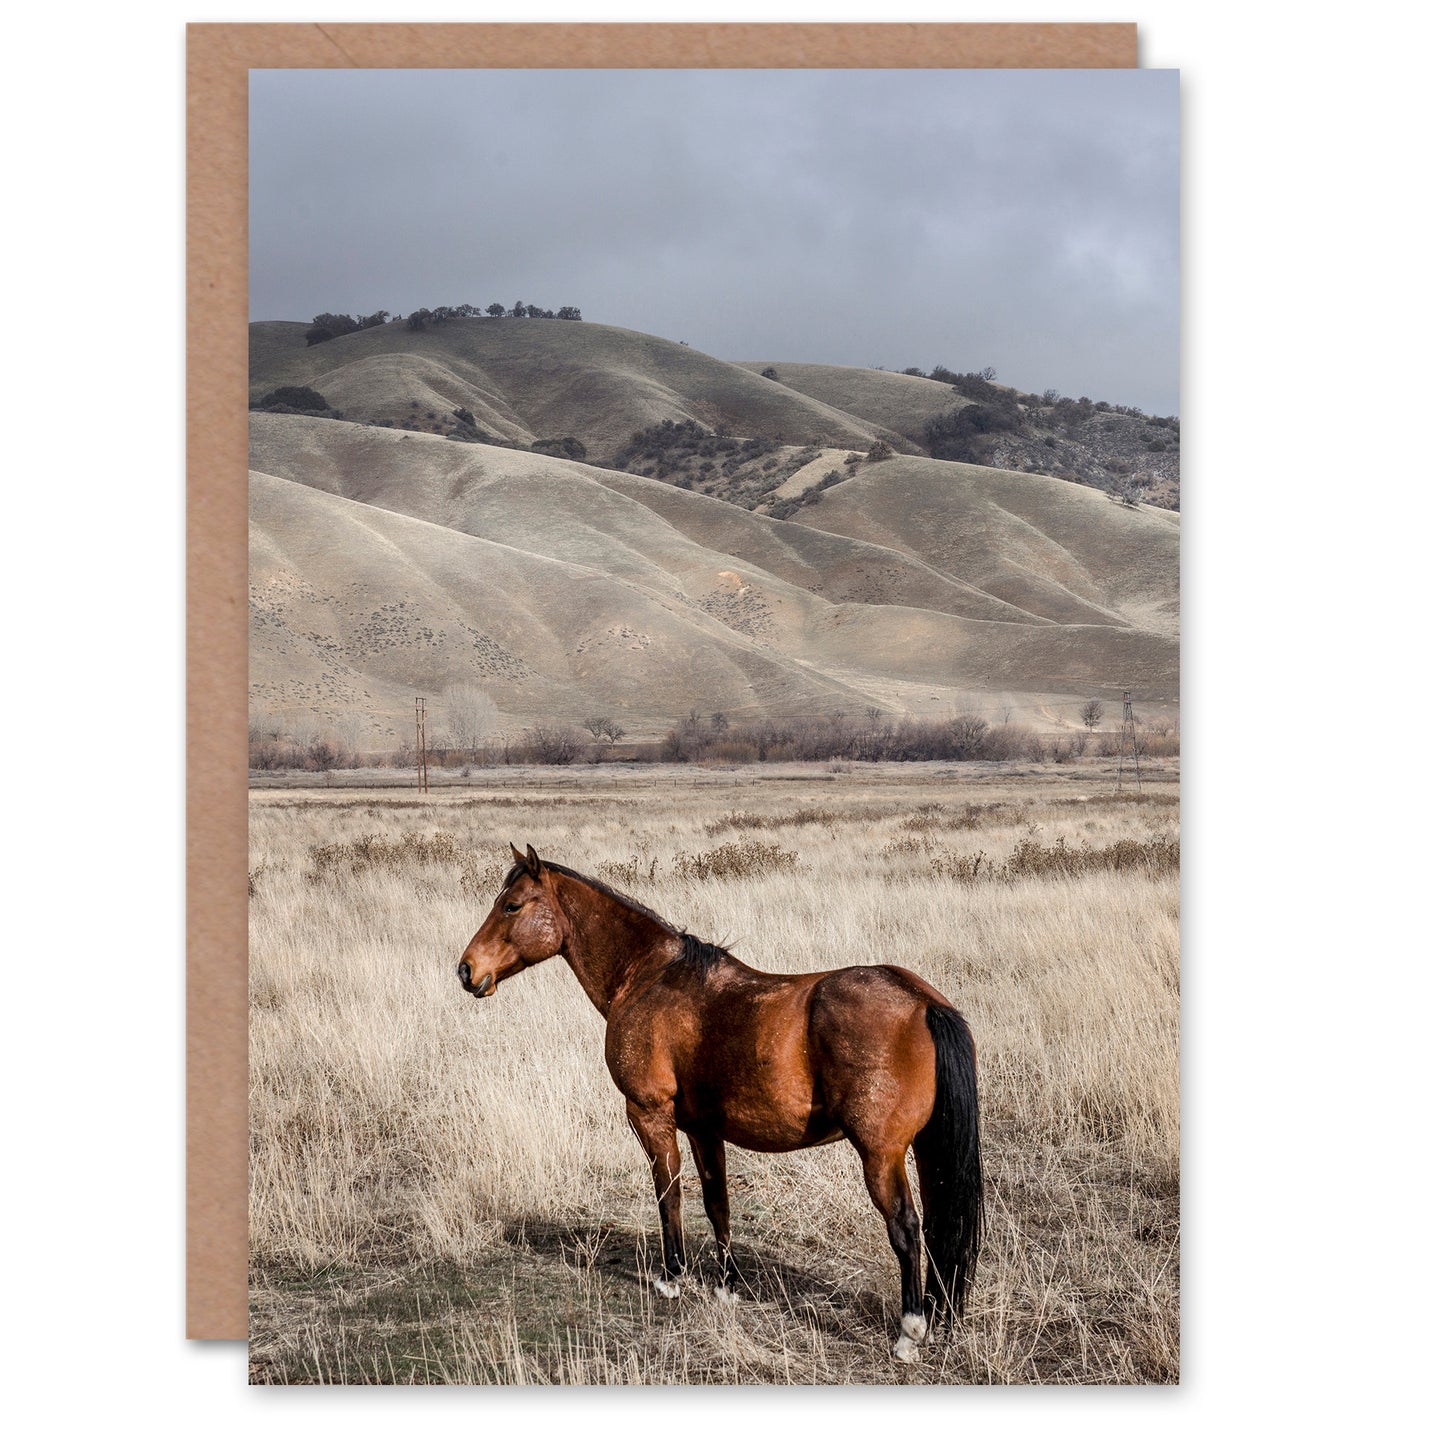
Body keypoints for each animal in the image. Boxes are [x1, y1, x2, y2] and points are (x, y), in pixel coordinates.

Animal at [457, 843, 984, 1363]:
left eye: (512, 906)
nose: (466, 970)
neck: (648, 977)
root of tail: (923, 1002)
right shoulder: (703, 1128)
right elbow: (717, 1204)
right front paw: (727, 1286)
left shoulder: (649, 1114)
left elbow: (669, 1192)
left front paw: (672, 1278)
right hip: (923, 1151)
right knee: (938, 1226)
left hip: (880, 1155)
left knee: (907, 1229)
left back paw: (910, 1331)